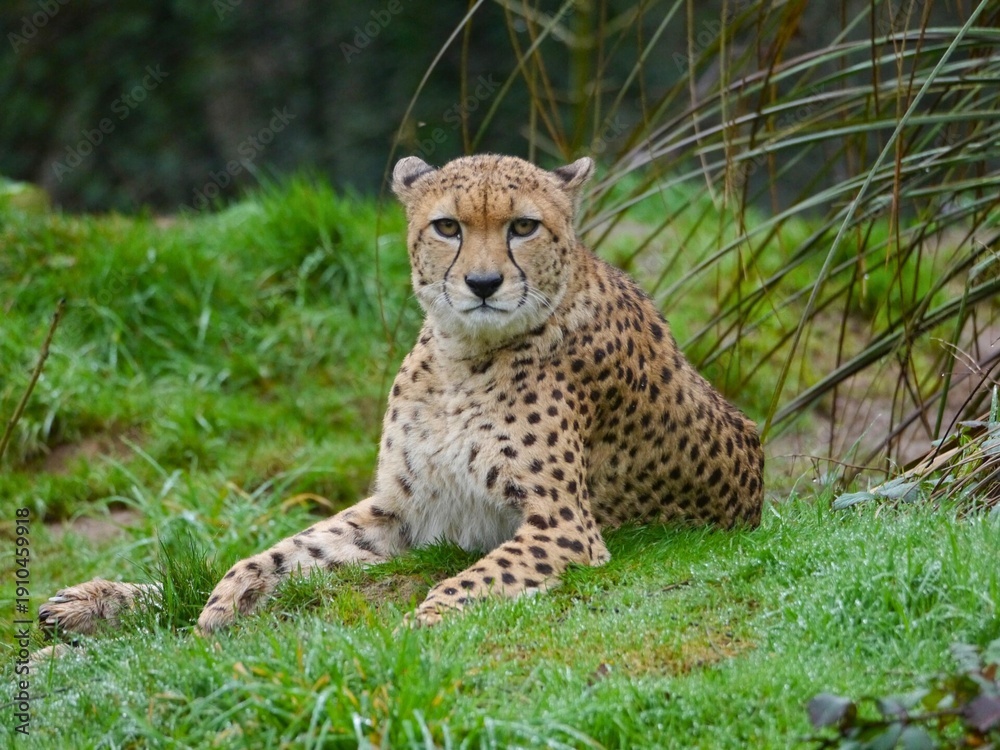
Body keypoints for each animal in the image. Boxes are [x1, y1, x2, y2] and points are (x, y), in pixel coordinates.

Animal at [39, 153, 764, 637]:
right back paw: (89, 602)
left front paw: (420, 628)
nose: (482, 283)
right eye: (447, 227)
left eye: (523, 227)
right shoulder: (404, 512)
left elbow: (471, 579)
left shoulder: (565, 529)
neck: (460, 355)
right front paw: (226, 601)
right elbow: (283, 551)